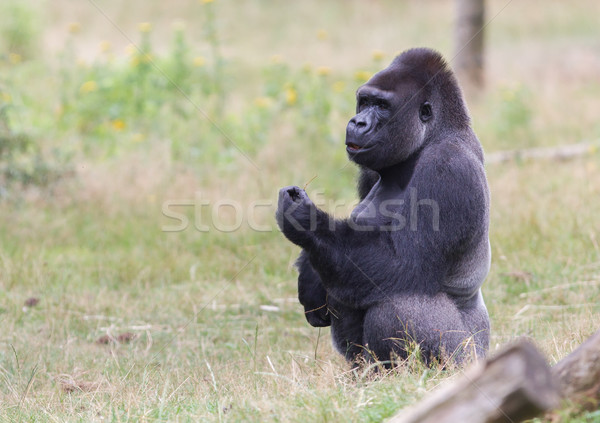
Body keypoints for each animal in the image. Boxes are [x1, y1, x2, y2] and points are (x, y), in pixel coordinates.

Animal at [274, 48, 490, 366]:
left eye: (382, 106)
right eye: (364, 101)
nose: (357, 122)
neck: (433, 136)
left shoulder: (447, 168)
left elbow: (403, 265)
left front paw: (305, 219)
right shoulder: (370, 171)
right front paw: (309, 280)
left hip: (466, 356)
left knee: (398, 305)